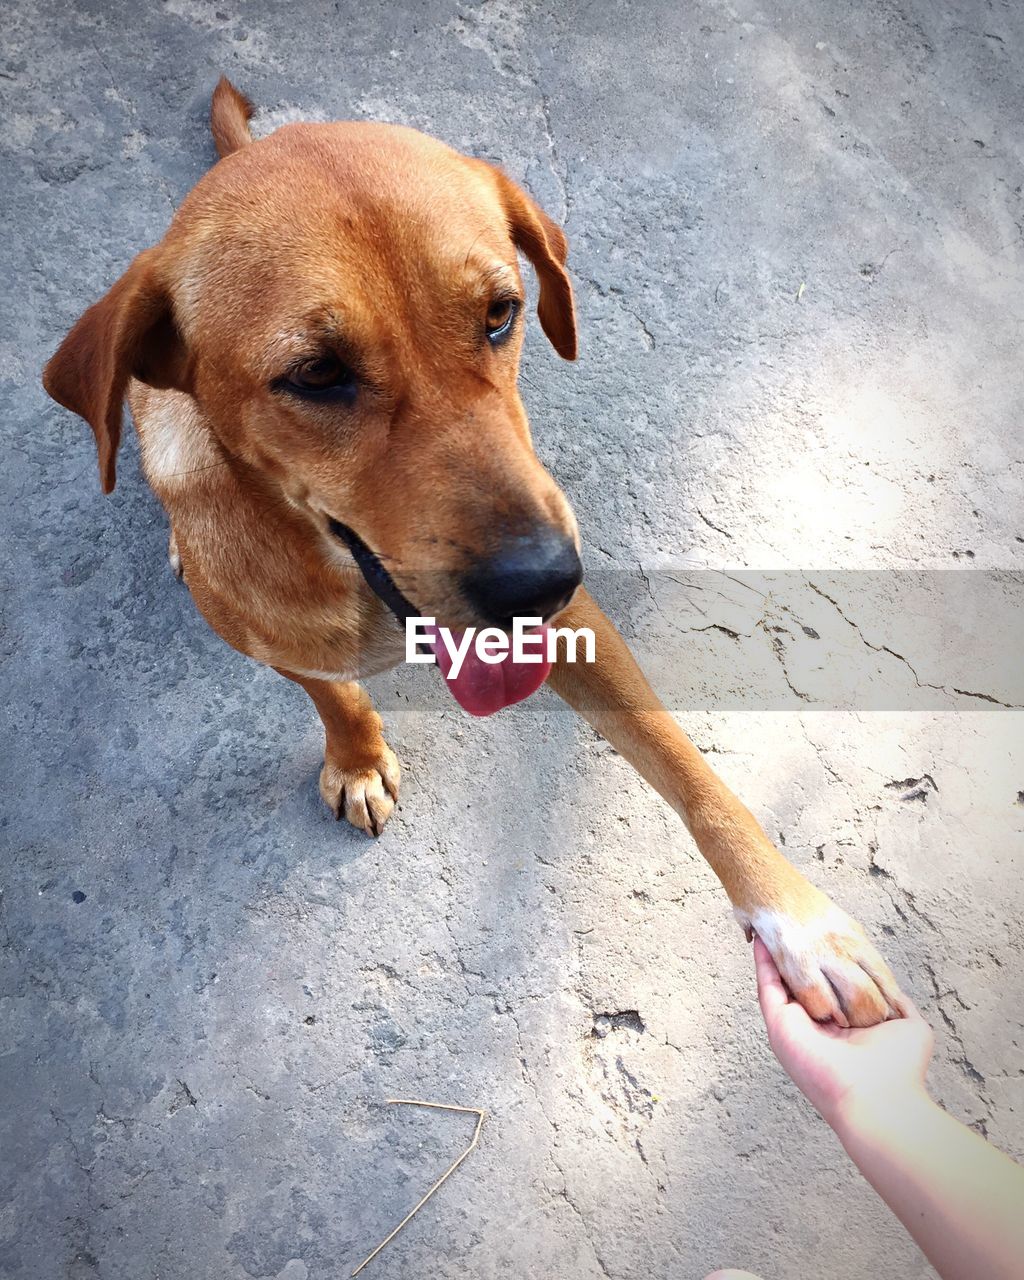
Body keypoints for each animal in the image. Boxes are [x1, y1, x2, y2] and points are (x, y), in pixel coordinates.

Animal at [44, 80, 906, 1024]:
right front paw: (357, 761)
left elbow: (685, 768)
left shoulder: (581, 631)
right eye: (316, 374)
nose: (542, 581)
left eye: (501, 315)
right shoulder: (277, 642)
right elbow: (334, 697)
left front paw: (798, 923)